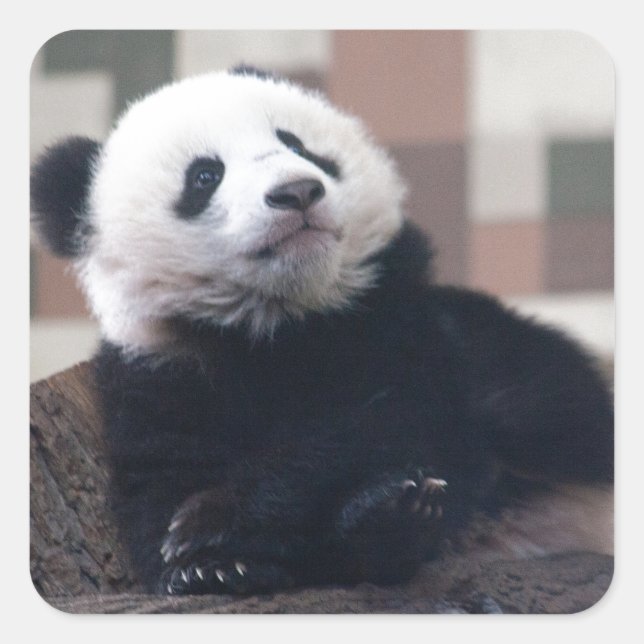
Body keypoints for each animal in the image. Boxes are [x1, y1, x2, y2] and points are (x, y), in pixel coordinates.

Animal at [31, 65, 613, 596]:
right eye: (204, 176)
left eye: (298, 145)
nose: (297, 191)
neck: (279, 321)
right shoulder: (160, 370)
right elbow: (156, 486)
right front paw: (208, 565)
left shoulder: (398, 320)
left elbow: (388, 418)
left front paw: (212, 522)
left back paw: (396, 515)